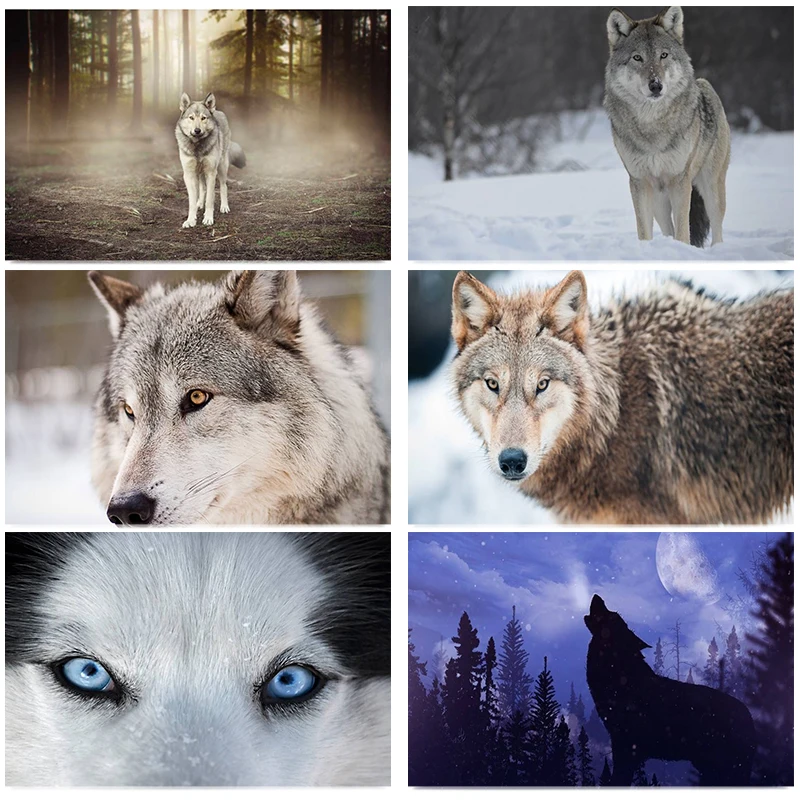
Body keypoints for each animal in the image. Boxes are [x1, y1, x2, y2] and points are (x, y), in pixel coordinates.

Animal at [175, 92, 246, 228]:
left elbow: (210, 199)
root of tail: (217, 111)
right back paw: (199, 203)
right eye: (191, 118)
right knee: (202, 188)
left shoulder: (211, 173)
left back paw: (224, 207)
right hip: (200, 172)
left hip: (222, 167)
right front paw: (191, 220)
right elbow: (192, 201)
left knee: (224, 186)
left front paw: (208, 218)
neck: (197, 146)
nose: (197, 130)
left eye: (203, 118)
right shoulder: (189, 175)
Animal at [605, 7, 731, 247]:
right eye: (637, 58)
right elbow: (644, 231)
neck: (652, 126)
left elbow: (683, 231)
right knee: (668, 230)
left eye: (663, 55)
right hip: (659, 202)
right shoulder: (639, 182)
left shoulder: (679, 180)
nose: (656, 85)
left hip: (711, 186)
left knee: (718, 228)